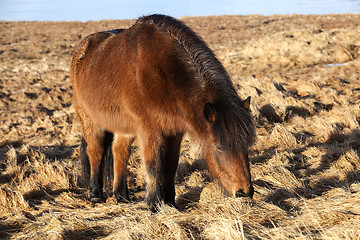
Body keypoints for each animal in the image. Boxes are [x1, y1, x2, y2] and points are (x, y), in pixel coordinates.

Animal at [71, 14, 256, 211]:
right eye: (219, 147)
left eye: (246, 145)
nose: (245, 192)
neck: (164, 72)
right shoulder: (149, 131)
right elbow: (153, 166)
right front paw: (154, 204)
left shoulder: (174, 132)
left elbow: (170, 166)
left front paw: (170, 202)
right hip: (89, 120)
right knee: (95, 151)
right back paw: (95, 194)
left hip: (123, 125)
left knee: (119, 150)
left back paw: (121, 195)